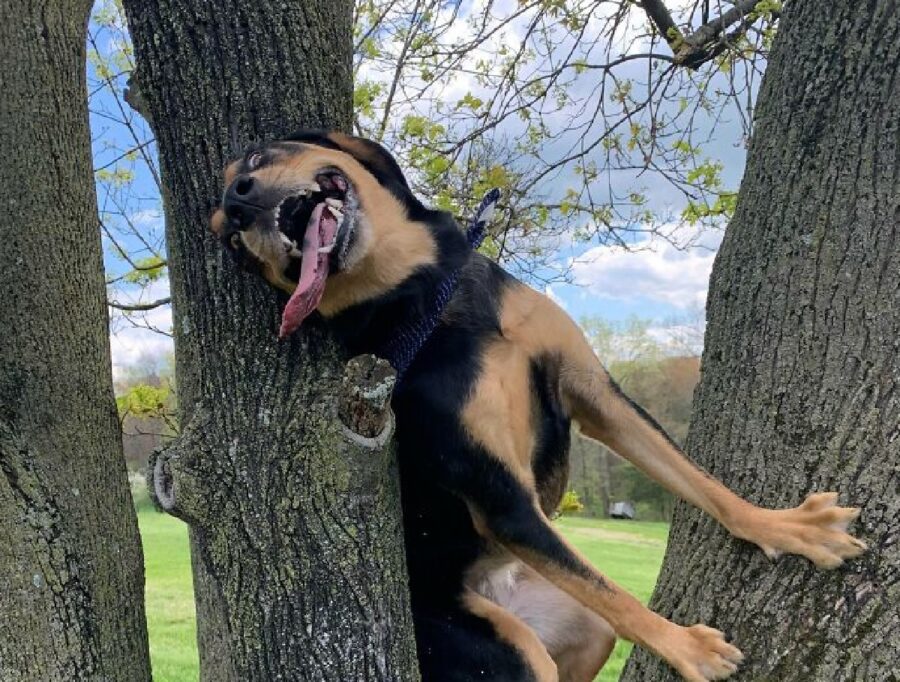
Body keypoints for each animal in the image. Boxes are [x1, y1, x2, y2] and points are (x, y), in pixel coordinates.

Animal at [209, 131, 864, 680]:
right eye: (234, 245)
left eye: (257, 158)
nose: (238, 205)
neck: (428, 294)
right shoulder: (504, 502)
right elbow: (615, 592)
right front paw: (685, 646)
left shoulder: (595, 393)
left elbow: (699, 483)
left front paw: (785, 526)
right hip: (507, 652)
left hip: (577, 628)